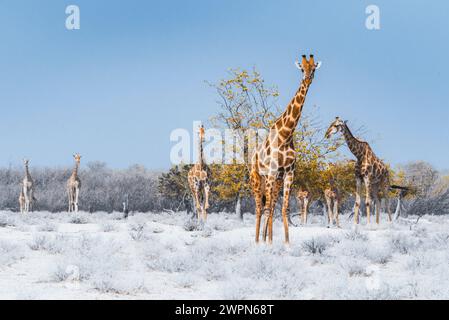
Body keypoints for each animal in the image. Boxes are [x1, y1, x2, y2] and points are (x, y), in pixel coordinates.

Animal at [250, 53, 320, 244]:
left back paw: (266, 239)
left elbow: (284, 209)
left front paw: (286, 244)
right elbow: (267, 209)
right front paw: (267, 244)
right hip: (257, 178)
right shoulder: (272, 172)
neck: (286, 134)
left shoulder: (288, 173)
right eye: (302, 69)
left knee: (271, 206)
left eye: (314, 68)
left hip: (275, 181)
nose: (307, 78)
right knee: (259, 209)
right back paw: (257, 241)